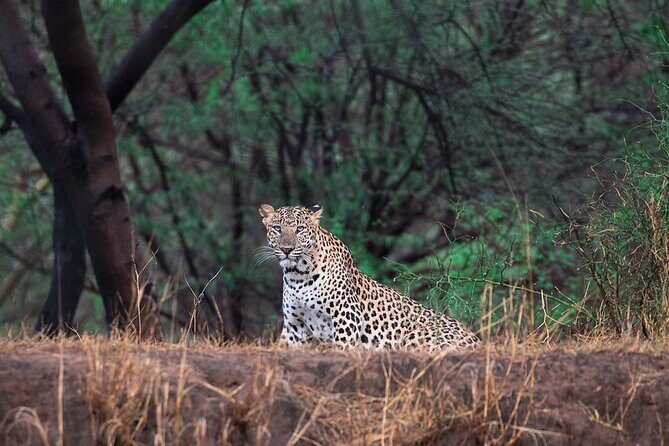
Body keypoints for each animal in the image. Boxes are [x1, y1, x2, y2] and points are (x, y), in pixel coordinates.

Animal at [258, 204, 481, 351]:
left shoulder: (347, 317)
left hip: (416, 336)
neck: (298, 276)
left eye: (300, 229)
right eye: (277, 229)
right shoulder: (295, 327)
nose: (287, 249)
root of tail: (477, 340)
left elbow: (341, 349)